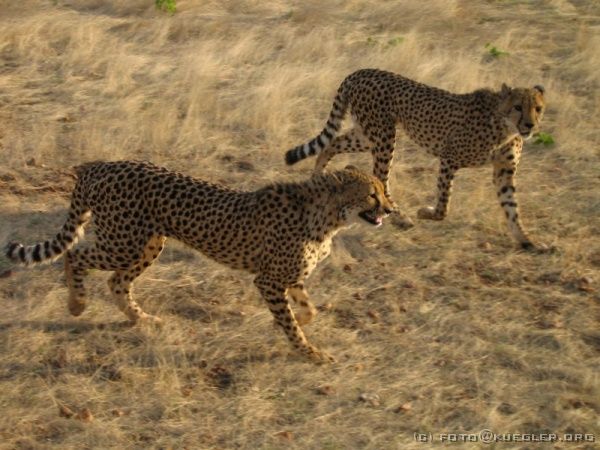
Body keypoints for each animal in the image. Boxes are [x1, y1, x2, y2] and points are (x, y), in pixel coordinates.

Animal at [5, 160, 412, 363]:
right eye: (372, 194)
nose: (391, 210)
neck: (327, 215)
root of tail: (100, 165)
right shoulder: (267, 280)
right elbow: (293, 324)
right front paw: (309, 352)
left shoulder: (287, 276)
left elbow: (304, 306)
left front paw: (300, 322)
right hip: (123, 241)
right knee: (76, 255)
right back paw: (76, 304)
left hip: (150, 243)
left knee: (116, 281)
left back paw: (142, 319)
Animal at [285, 68, 547, 250]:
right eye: (517, 106)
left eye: (538, 108)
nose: (530, 125)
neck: (505, 127)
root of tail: (361, 71)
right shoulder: (449, 158)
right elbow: (443, 205)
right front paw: (425, 212)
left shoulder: (504, 171)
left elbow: (512, 208)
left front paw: (527, 241)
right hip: (383, 137)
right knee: (380, 179)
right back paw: (400, 217)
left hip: (366, 135)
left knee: (332, 143)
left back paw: (319, 175)